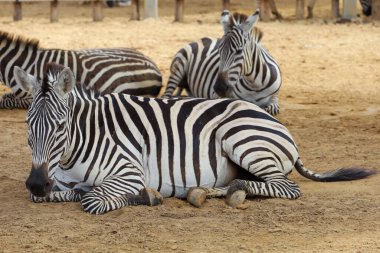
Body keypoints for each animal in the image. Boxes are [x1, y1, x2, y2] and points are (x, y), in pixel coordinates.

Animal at [15, 62, 378, 214]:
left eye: (60, 126)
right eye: (28, 125)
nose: (36, 182)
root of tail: (268, 116)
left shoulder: (129, 170)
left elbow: (93, 199)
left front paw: (144, 196)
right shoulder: (54, 179)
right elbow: (50, 196)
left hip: (241, 137)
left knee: (286, 187)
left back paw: (235, 190)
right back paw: (206, 191)